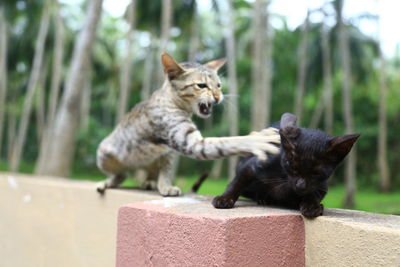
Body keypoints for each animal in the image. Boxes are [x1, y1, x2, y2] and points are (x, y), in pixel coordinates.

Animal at [95, 54, 280, 197]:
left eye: (219, 85)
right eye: (201, 85)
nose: (218, 96)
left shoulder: (169, 152)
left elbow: (166, 171)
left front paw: (165, 185)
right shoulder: (190, 142)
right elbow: (229, 141)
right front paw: (257, 139)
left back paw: (150, 182)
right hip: (104, 154)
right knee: (121, 174)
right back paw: (108, 182)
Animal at [212, 112, 360, 219]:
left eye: (316, 173)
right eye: (291, 165)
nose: (300, 185)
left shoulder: (322, 186)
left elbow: (313, 193)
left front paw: (312, 206)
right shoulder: (252, 166)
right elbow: (237, 182)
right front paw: (224, 198)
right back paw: (262, 198)